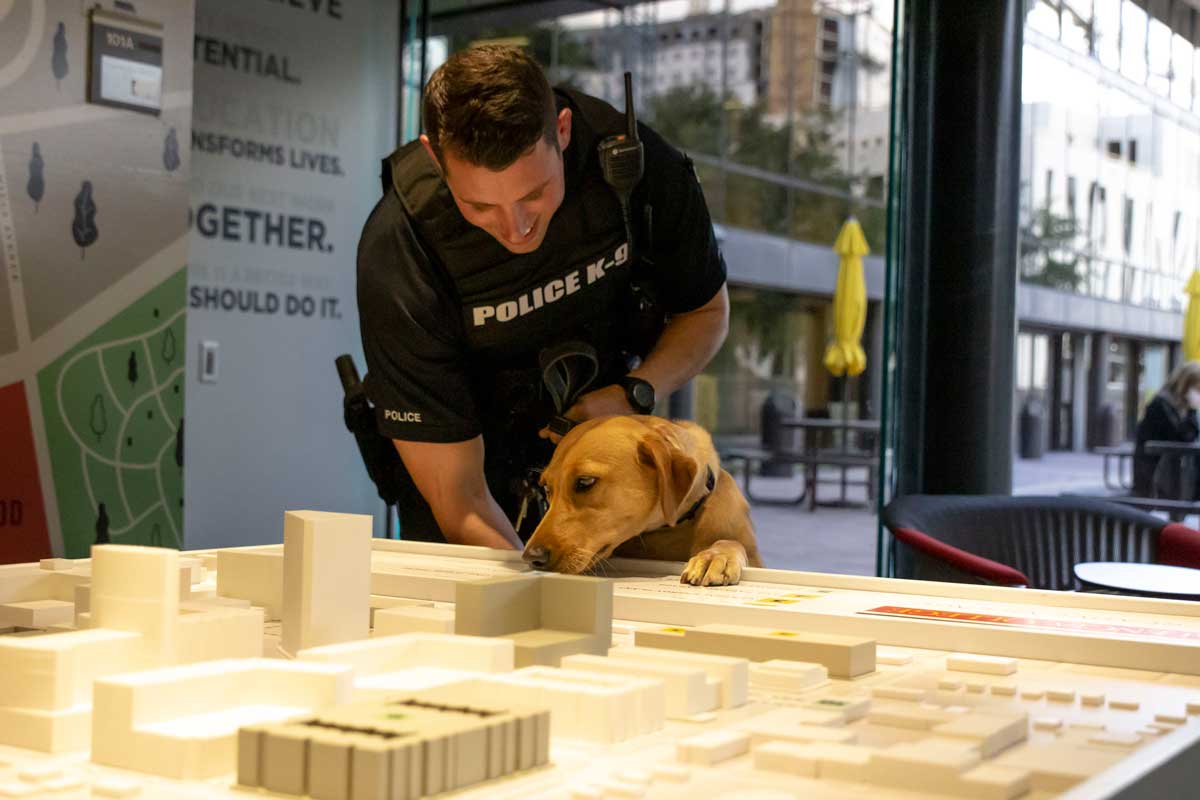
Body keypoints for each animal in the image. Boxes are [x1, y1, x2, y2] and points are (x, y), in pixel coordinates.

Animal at [520, 417, 763, 585]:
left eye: (585, 481)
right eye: (546, 488)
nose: (532, 557)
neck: (667, 531)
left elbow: (731, 542)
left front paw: (715, 557)